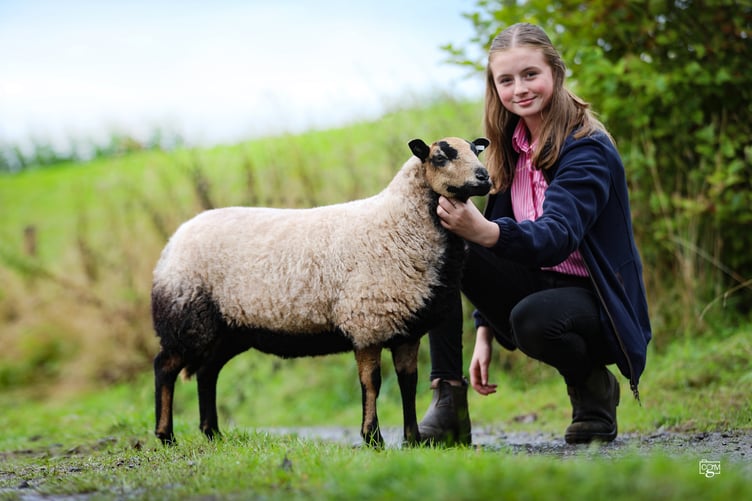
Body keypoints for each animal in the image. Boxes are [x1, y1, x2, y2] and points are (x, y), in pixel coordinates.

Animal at [152, 137, 491, 447]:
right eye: (440, 157)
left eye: (476, 151)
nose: (485, 177)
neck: (399, 224)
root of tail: (172, 243)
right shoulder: (367, 323)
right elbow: (372, 383)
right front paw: (373, 438)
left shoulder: (406, 329)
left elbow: (408, 384)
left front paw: (412, 439)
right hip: (187, 316)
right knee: (165, 367)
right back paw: (166, 435)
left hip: (229, 329)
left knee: (207, 372)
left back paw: (212, 433)